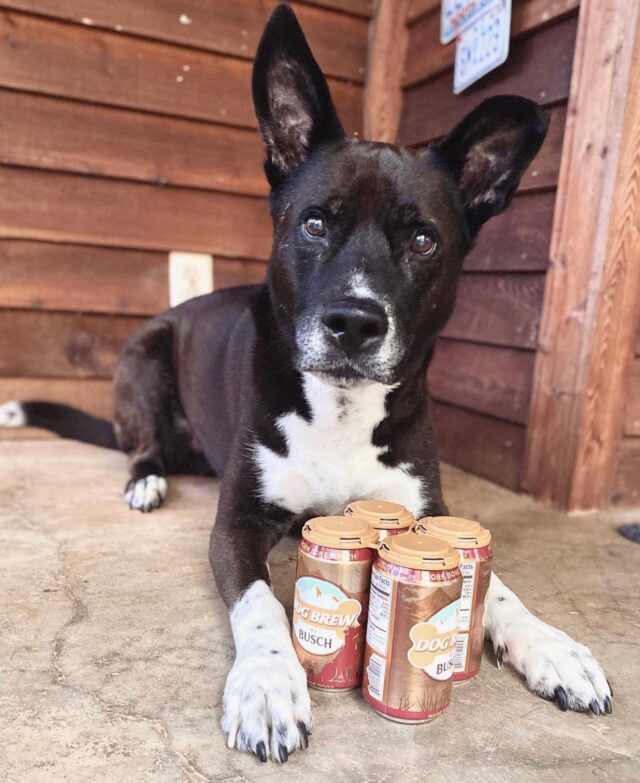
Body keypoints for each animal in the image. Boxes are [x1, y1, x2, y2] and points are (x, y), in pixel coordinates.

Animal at [0, 4, 608, 764]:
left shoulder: (428, 509)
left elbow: (489, 582)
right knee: (141, 448)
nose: (354, 322)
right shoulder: (236, 524)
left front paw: (552, 646)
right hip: (142, 359)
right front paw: (266, 685)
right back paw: (147, 480)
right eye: (315, 222)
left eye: (424, 241)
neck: (340, 407)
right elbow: (261, 603)